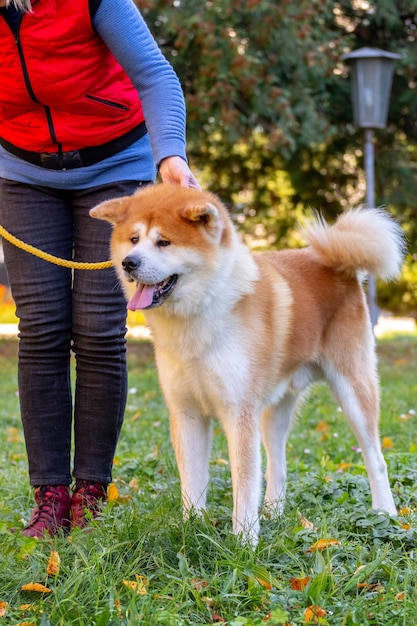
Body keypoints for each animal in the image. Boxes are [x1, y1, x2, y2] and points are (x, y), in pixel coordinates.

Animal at [90, 183, 404, 544]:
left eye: (164, 242)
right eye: (133, 239)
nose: (129, 262)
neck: (199, 317)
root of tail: (341, 267)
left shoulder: (239, 413)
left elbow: (243, 484)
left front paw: (245, 542)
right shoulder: (187, 413)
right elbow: (193, 481)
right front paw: (192, 527)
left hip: (352, 391)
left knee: (375, 457)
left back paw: (385, 512)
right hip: (273, 412)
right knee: (277, 466)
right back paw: (273, 512)